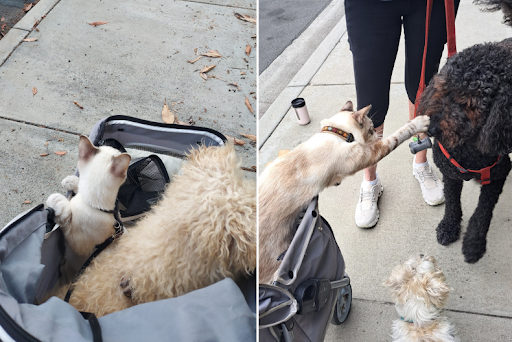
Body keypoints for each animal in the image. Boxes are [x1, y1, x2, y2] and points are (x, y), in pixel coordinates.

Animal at [258, 101, 430, 284]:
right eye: (371, 129)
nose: (377, 134)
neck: (337, 133)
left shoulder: (278, 157)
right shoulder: (369, 153)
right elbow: (398, 135)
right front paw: (420, 122)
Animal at [416, 33, 512, 264]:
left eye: (469, 103)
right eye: (442, 88)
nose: (431, 129)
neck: (468, 149)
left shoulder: (498, 174)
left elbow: (482, 213)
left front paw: (474, 244)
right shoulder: (450, 173)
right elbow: (452, 203)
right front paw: (449, 228)